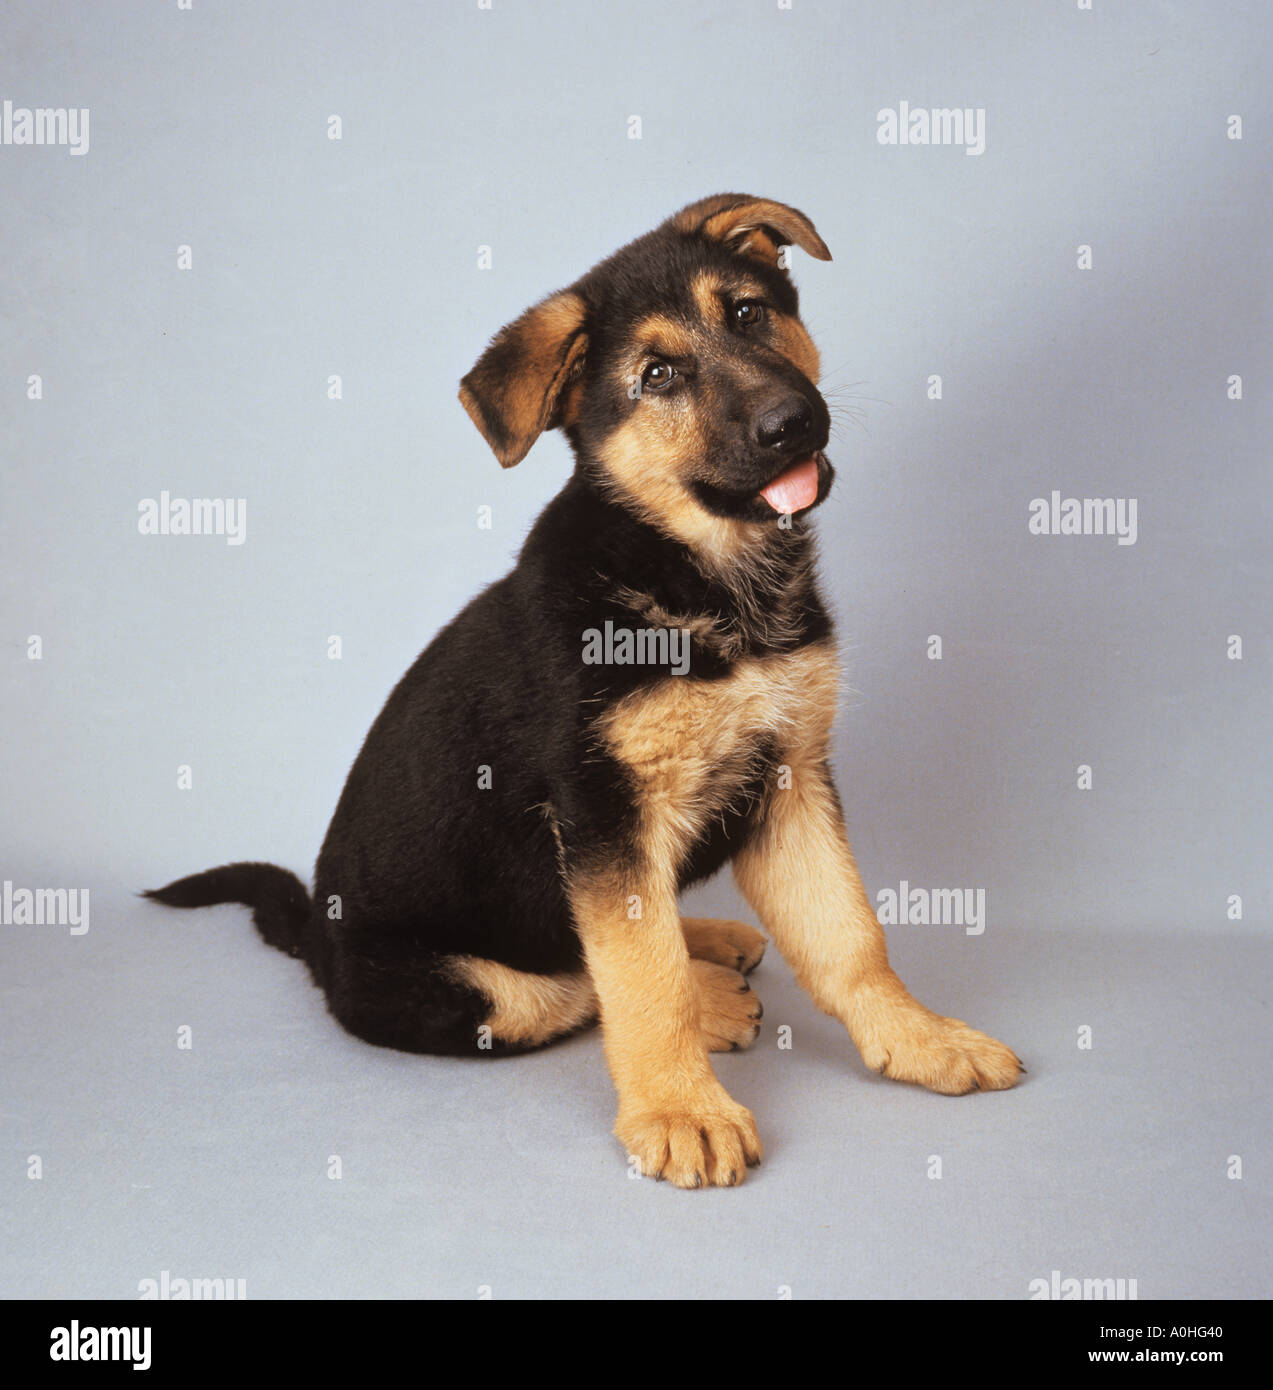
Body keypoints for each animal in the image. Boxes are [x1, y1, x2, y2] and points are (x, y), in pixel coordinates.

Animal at [149, 195, 1022, 1189]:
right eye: (657, 376)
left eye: (749, 314)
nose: (791, 421)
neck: (703, 581)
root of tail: (316, 943)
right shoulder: (604, 814)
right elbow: (640, 980)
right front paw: (679, 1109)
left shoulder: (791, 775)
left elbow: (849, 936)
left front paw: (920, 1039)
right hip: (471, 992)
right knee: (569, 986)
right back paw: (712, 994)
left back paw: (710, 942)